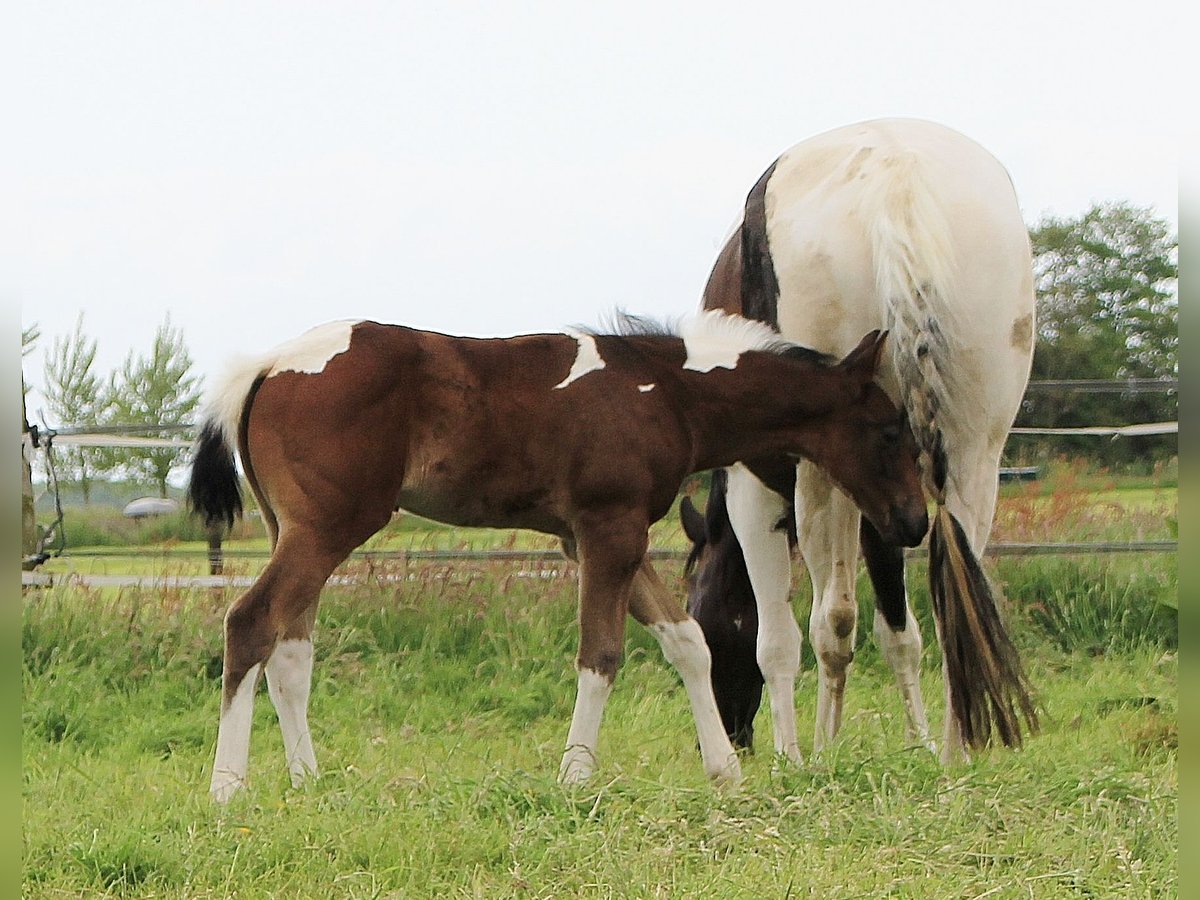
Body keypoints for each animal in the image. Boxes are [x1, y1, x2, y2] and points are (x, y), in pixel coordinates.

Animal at [189, 312, 926, 801]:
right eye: (891, 431)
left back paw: (307, 780)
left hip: (295, 530)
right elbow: (601, 652)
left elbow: (687, 641)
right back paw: (227, 789)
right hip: (329, 527)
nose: (914, 523)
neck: (667, 391)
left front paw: (725, 771)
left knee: (290, 650)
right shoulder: (610, 529)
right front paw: (575, 776)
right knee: (250, 624)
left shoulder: (600, 535)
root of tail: (264, 368)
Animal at [686, 118, 1041, 768]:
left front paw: (794, 758)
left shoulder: (759, 481)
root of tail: (897, 179)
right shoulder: (889, 492)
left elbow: (780, 638)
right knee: (955, 605)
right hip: (975, 456)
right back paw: (954, 755)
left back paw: (824, 750)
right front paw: (919, 741)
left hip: (822, 480)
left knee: (831, 622)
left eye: (705, 619)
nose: (730, 736)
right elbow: (899, 631)